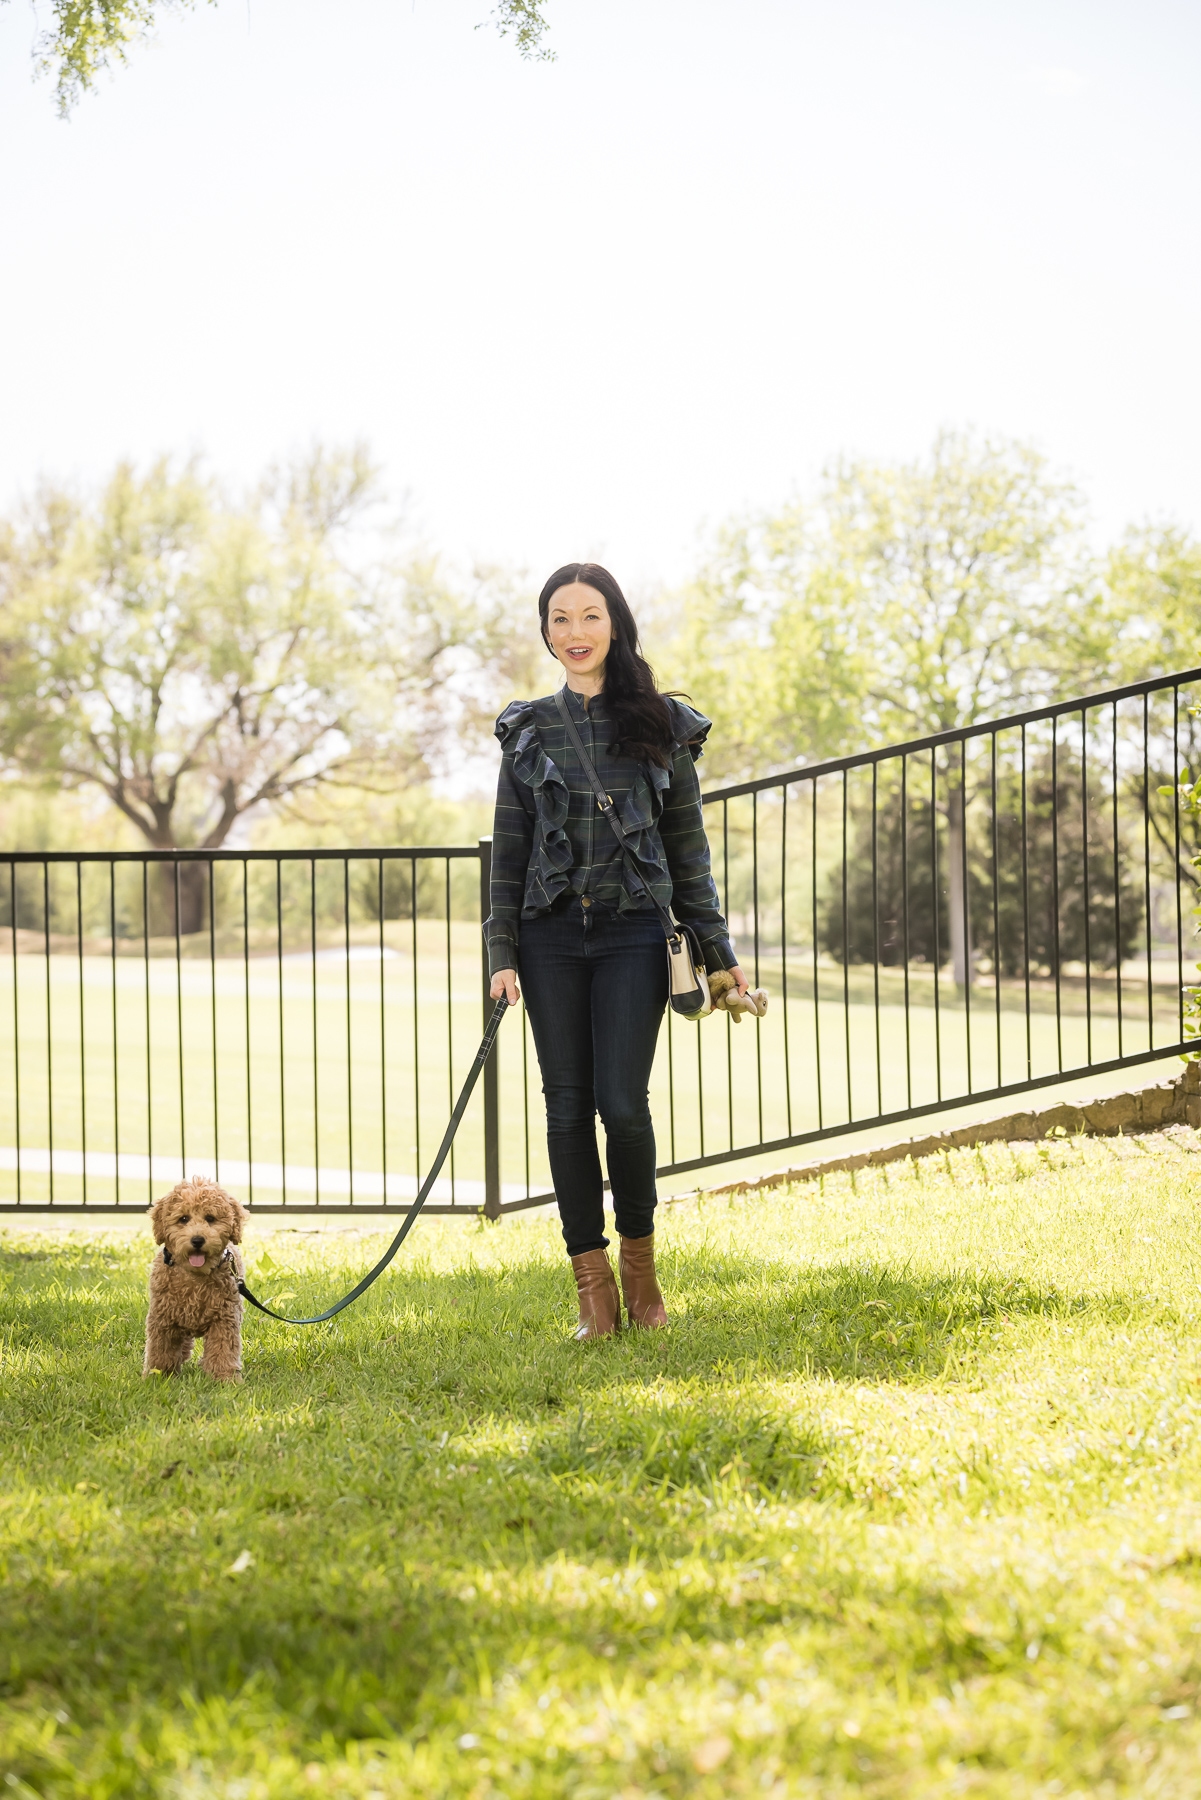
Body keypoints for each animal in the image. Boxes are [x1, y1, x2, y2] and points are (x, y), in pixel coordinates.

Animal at [143, 1180, 248, 1375]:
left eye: (210, 1218)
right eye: (183, 1219)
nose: (197, 1240)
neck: (195, 1275)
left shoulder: (224, 1319)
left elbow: (223, 1352)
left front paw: (224, 1378)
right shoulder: (163, 1319)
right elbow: (160, 1352)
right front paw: (158, 1376)